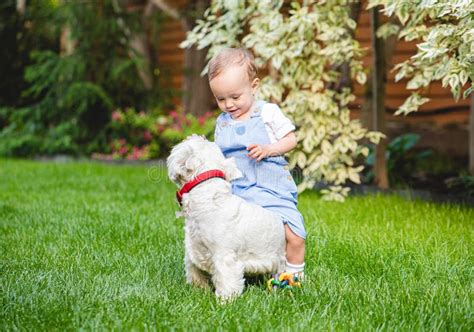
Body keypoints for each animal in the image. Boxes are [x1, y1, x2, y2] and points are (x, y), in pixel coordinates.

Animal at [168, 134, 286, 300]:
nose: (195, 136)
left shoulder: (224, 255)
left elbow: (226, 280)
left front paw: (224, 301)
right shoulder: (193, 249)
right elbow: (195, 272)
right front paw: (199, 291)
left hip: (277, 257)